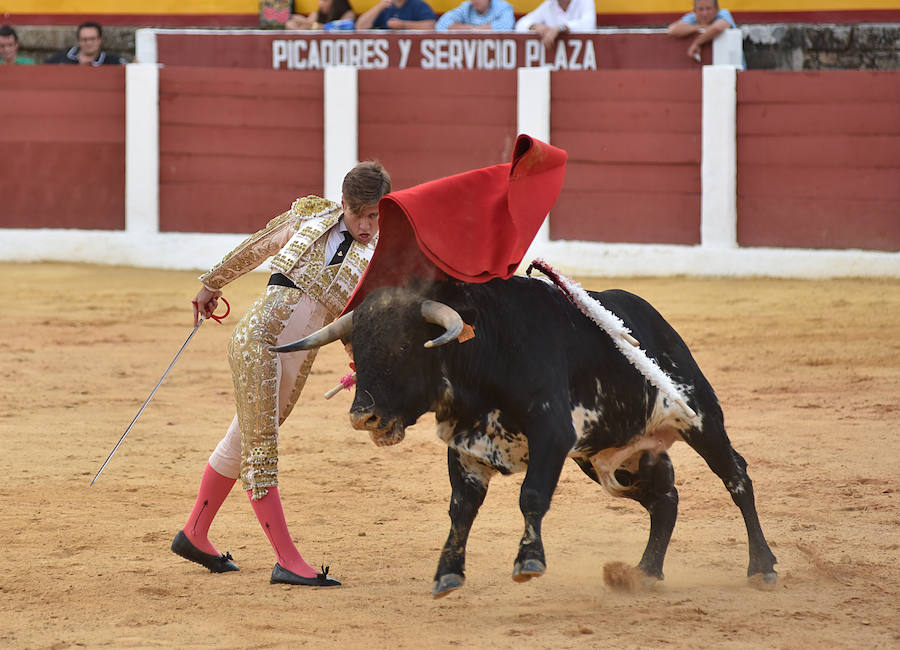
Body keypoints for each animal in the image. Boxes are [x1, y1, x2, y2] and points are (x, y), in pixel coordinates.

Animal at [272, 276, 772, 596]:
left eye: (404, 346)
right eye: (358, 349)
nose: (363, 416)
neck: (487, 350)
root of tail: (652, 322)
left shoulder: (551, 433)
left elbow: (531, 496)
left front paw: (528, 562)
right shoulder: (466, 448)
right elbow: (460, 510)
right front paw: (447, 574)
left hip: (700, 417)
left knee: (737, 478)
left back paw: (762, 567)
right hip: (610, 460)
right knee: (664, 499)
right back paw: (643, 573)